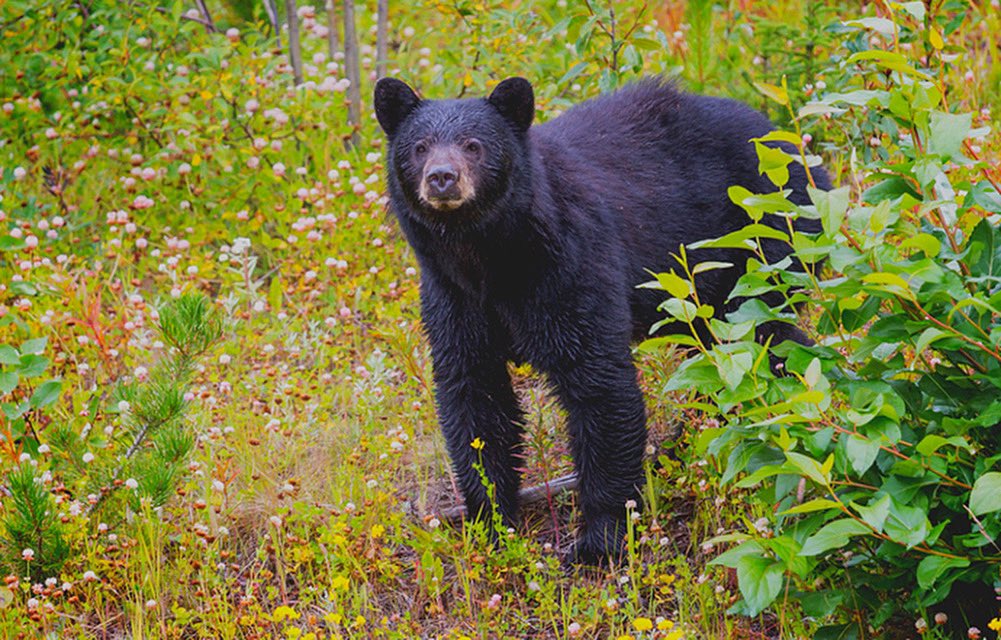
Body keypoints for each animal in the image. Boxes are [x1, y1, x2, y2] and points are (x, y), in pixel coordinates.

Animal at [373, 76, 829, 564]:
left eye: (474, 145)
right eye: (419, 147)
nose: (442, 177)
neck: (487, 257)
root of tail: (791, 143)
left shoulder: (569, 264)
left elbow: (597, 382)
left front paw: (598, 538)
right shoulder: (453, 296)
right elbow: (473, 394)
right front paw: (490, 522)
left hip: (761, 242)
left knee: (762, 337)